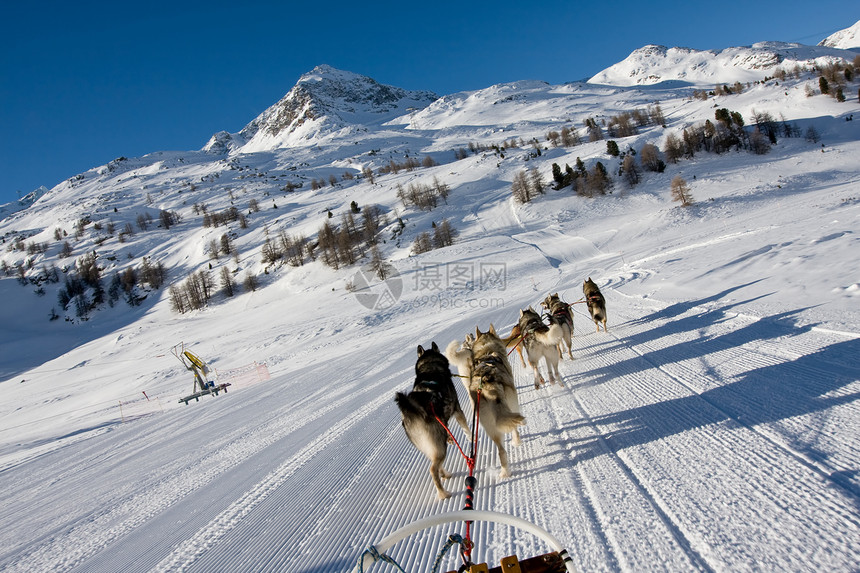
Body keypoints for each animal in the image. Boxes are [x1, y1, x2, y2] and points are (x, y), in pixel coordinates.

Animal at [396, 342, 470, 498]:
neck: (430, 367)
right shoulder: (458, 410)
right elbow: (467, 429)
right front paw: (471, 437)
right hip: (440, 447)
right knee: (433, 469)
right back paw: (443, 493)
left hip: (433, 446)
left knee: (437, 465)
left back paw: (445, 475)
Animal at [450, 326, 524, 478]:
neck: (487, 351)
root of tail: (487, 385)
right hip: (512, 407)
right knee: (514, 428)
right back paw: (517, 442)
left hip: (489, 425)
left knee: (501, 450)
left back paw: (505, 472)